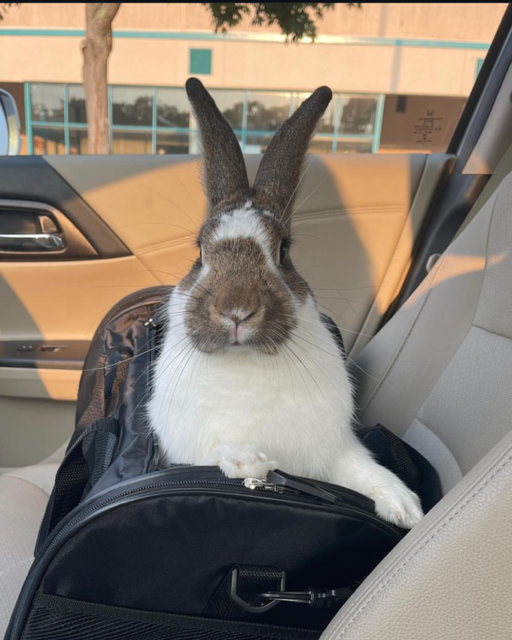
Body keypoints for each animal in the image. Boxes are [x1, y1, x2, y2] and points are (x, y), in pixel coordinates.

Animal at [148, 79, 424, 528]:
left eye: (283, 251)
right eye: (199, 252)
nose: (237, 310)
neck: (244, 363)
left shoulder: (335, 449)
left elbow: (364, 468)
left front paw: (405, 507)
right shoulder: (184, 449)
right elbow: (215, 451)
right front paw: (247, 461)